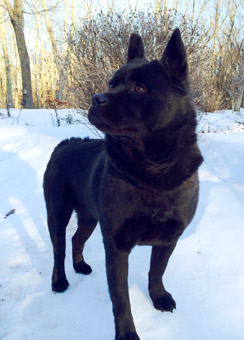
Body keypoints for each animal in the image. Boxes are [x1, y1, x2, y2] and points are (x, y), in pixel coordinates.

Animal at [44, 27, 204, 338]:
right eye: (111, 83)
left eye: (139, 89)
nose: (97, 98)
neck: (152, 170)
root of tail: (64, 144)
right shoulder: (116, 246)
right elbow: (120, 299)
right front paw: (127, 333)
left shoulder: (169, 238)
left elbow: (156, 272)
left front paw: (159, 297)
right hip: (57, 213)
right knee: (58, 249)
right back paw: (60, 281)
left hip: (89, 216)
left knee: (76, 239)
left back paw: (80, 265)